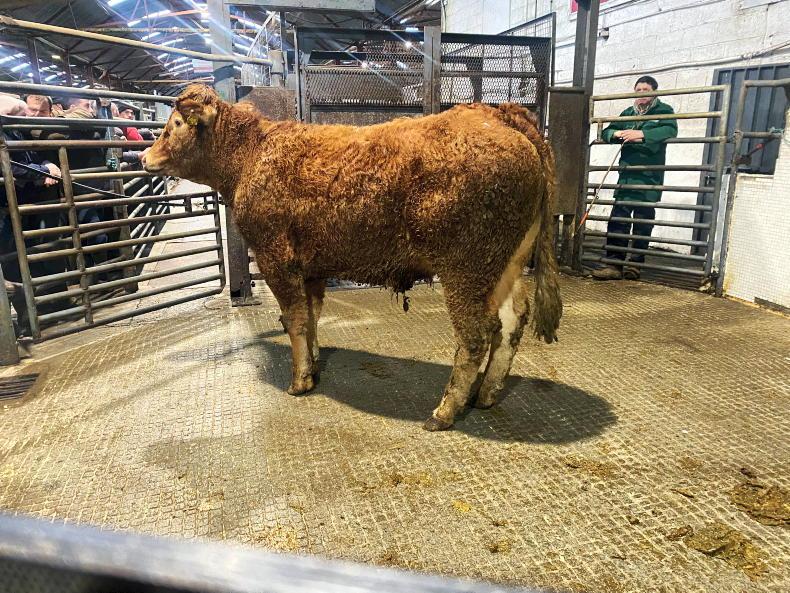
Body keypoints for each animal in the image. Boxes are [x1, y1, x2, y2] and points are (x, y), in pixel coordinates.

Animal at [143, 84, 562, 431]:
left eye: (175, 124)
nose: (145, 157)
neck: (250, 156)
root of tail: (496, 112)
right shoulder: (311, 266)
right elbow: (311, 315)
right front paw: (313, 362)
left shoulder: (274, 256)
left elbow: (294, 319)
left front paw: (300, 381)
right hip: (505, 263)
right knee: (513, 319)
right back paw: (486, 395)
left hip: (467, 266)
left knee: (477, 334)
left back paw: (445, 412)